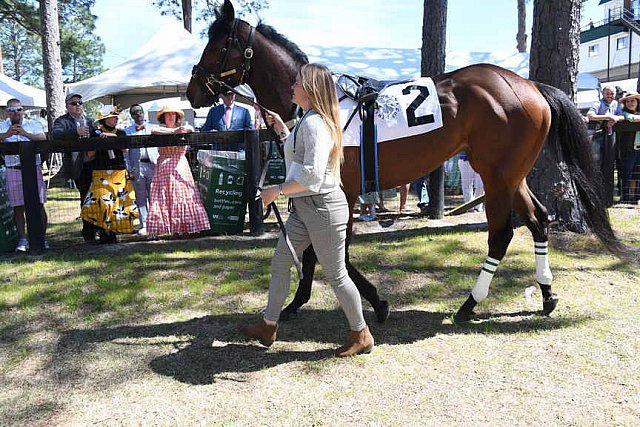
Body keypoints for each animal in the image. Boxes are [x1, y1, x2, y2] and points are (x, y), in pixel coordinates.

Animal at [188, 0, 624, 322]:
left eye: (217, 45)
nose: (193, 90)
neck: (321, 105)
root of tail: (529, 84)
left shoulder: (343, 193)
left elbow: (333, 251)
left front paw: (375, 302)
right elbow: (315, 248)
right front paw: (300, 300)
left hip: (495, 175)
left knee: (501, 234)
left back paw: (469, 304)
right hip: (513, 175)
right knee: (538, 220)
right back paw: (547, 295)